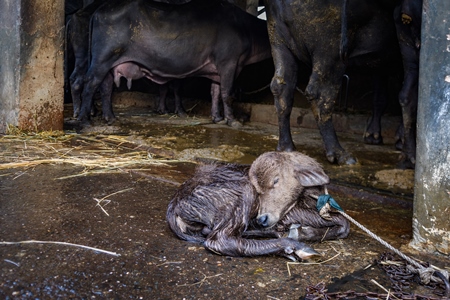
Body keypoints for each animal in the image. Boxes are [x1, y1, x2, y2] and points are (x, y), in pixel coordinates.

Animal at [78, 0, 270, 126]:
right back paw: (84, 119)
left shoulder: (217, 70)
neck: (245, 29)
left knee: (106, 87)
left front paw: (217, 117)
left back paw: (110, 117)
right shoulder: (229, 62)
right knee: (90, 83)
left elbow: (215, 92)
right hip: (102, 59)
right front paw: (233, 121)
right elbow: (227, 93)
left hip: (109, 64)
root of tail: (100, 10)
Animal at [266, 0, 400, 164]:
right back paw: (343, 156)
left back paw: (287, 148)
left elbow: (380, 96)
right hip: (330, 45)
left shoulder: (379, 65)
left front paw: (373, 137)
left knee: (281, 86)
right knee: (320, 94)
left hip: (278, 38)